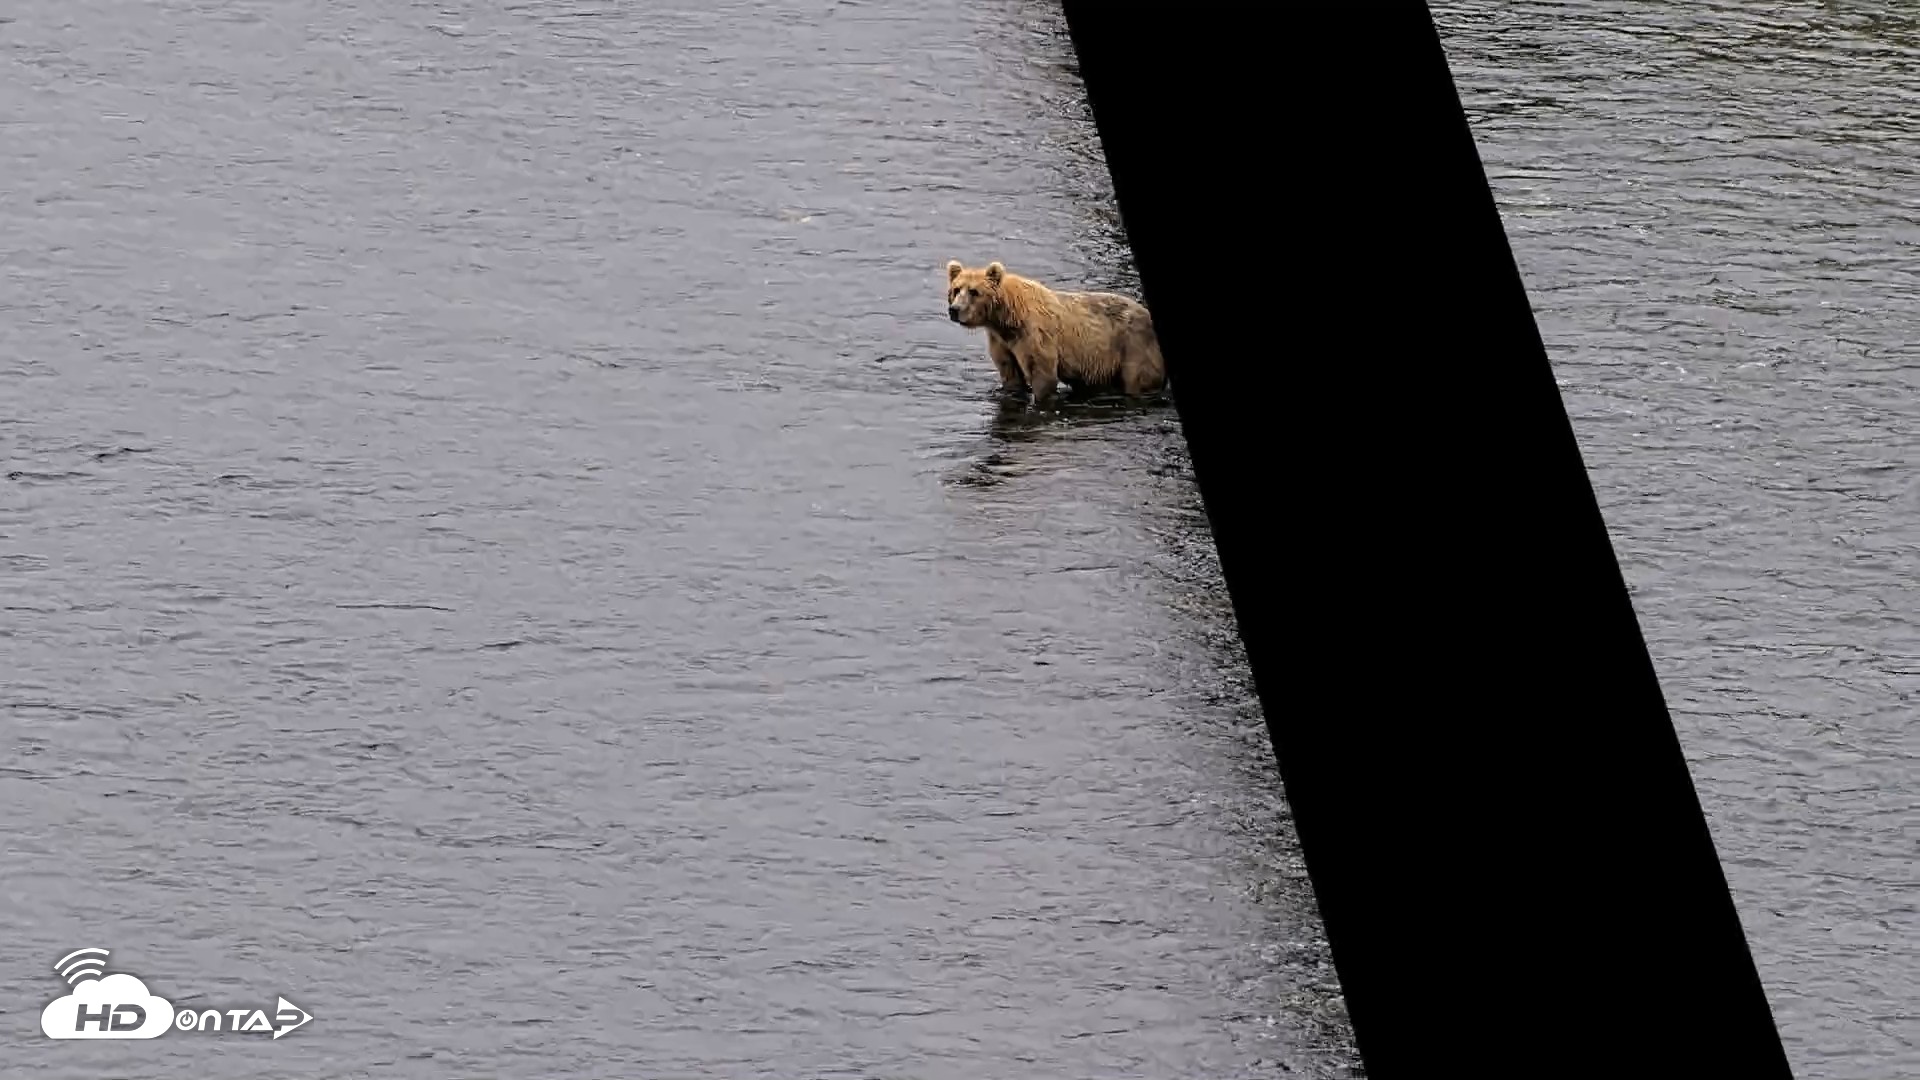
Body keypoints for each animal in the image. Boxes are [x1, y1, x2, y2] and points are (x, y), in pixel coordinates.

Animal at [944, 259, 1166, 407]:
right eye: (956, 289)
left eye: (974, 292)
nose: (954, 309)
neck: (1007, 318)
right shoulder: (1002, 341)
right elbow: (1011, 375)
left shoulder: (1034, 335)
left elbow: (1043, 374)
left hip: (1134, 346)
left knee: (1136, 378)